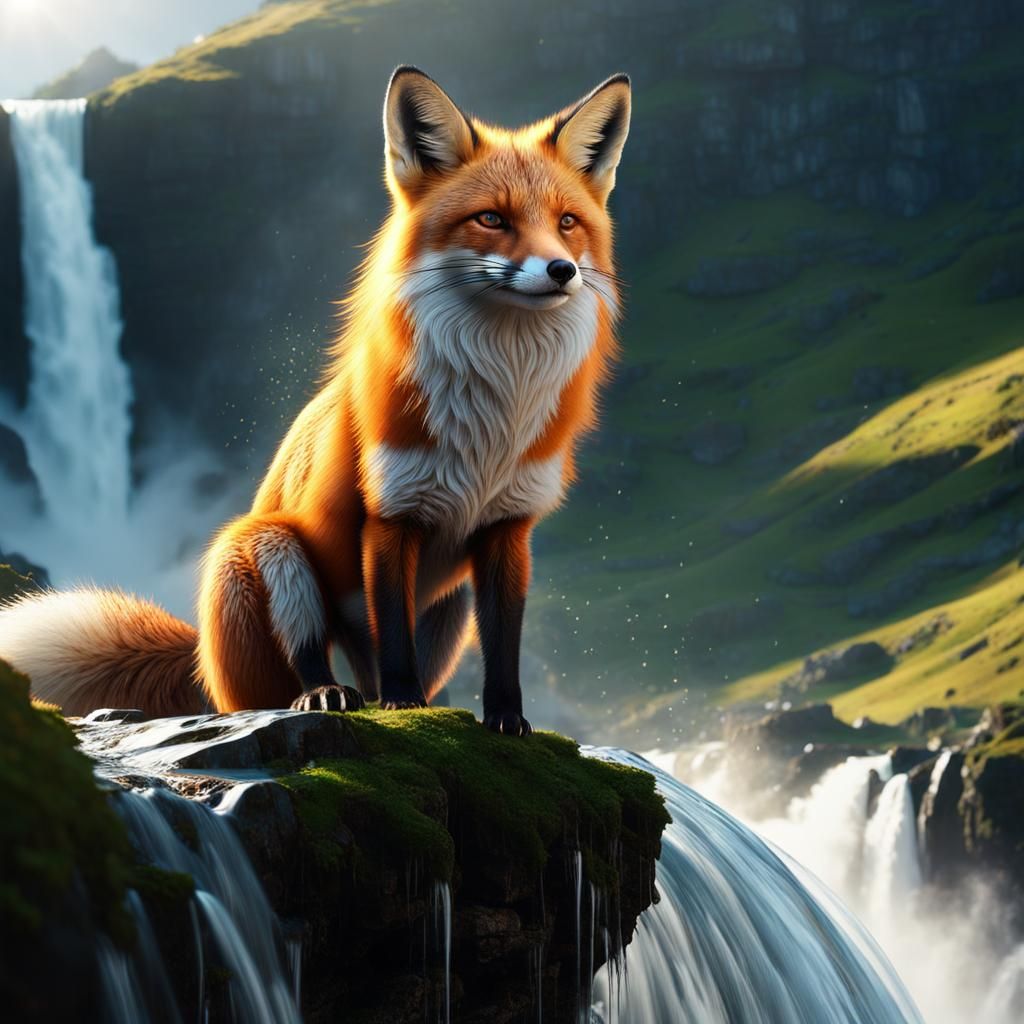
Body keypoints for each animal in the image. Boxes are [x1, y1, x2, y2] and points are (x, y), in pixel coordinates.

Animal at [0, 67, 631, 736]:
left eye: (567, 223)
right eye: (491, 218)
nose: (561, 270)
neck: (491, 421)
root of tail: (202, 662)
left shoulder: (508, 526)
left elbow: (505, 640)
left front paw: (507, 718)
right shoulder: (389, 514)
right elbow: (393, 633)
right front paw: (402, 704)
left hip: (450, 602)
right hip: (273, 547)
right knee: (304, 665)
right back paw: (329, 695)